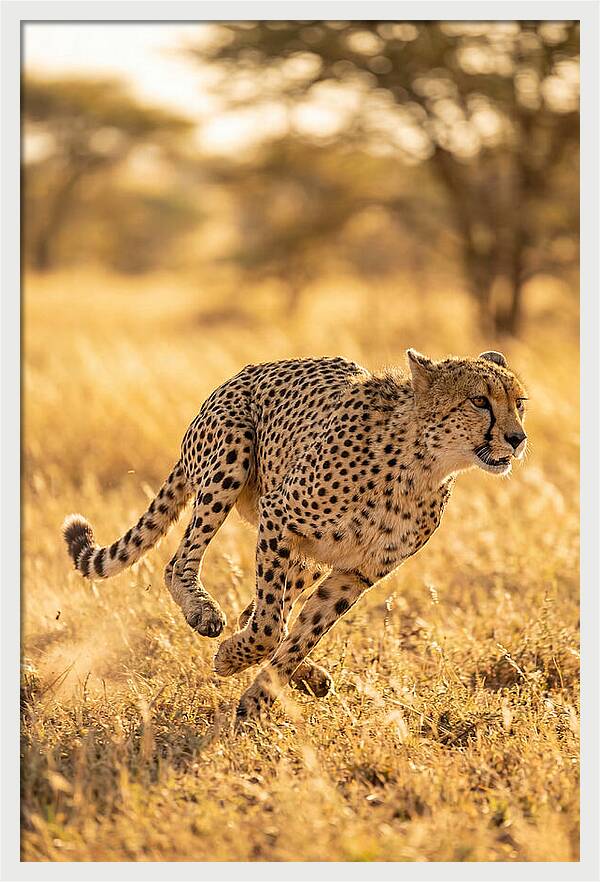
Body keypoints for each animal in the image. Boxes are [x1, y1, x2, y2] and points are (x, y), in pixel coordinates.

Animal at [63, 348, 528, 725]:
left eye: (519, 403)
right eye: (479, 401)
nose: (517, 438)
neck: (422, 464)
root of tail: (240, 374)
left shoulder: (356, 573)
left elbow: (302, 633)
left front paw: (258, 697)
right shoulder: (279, 517)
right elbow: (270, 627)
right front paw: (231, 660)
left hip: (307, 558)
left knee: (259, 610)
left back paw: (308, 677)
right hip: (231, 457)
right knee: (181, 564)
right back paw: (203, 612)